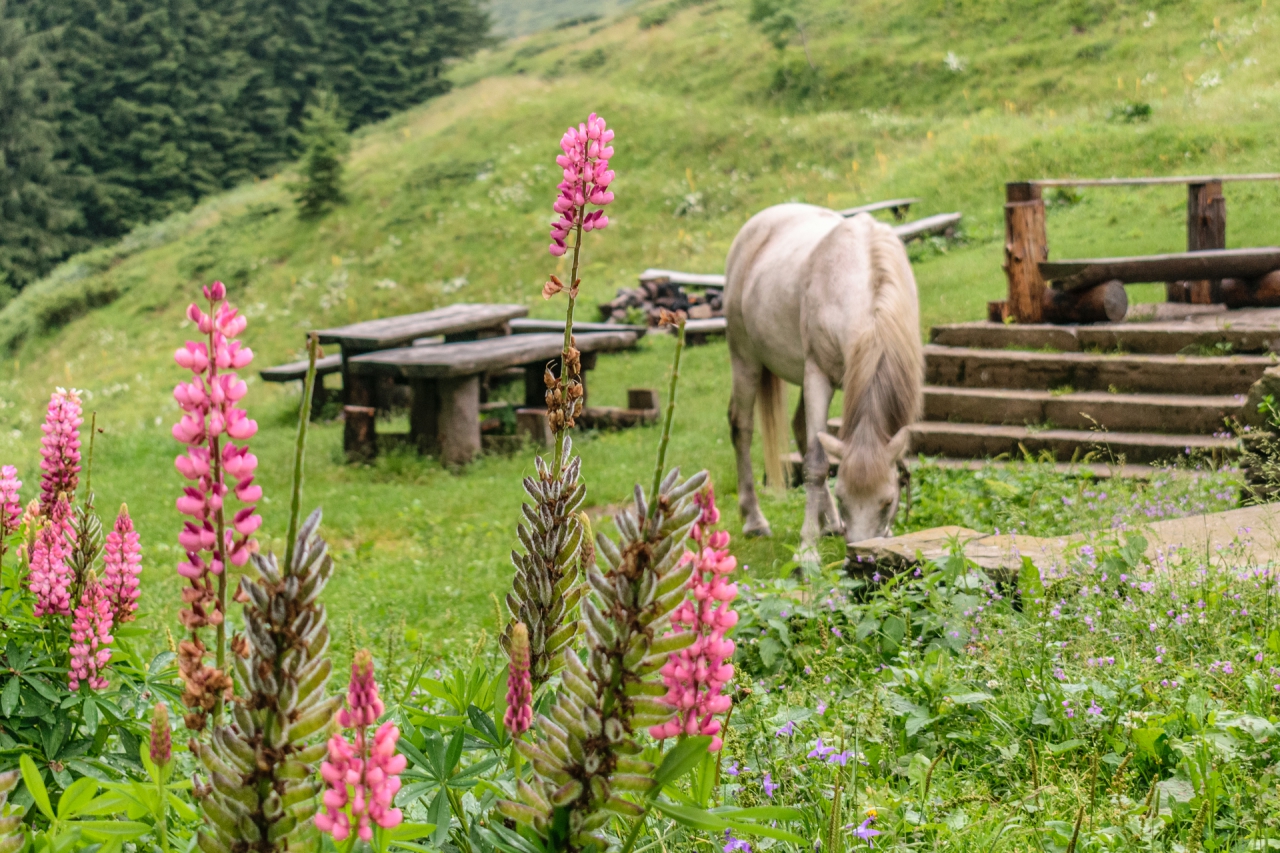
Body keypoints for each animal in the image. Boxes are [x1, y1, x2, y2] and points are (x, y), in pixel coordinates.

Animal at [727, 202, 926, 555]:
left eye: (888, 502)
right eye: (844, 498)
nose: (863, 557)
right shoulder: (817, 375)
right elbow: (817, 464)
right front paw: (807, 547)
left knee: (799, 428)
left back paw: (830, 524)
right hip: (745, 360)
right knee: (743, 429)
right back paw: (755, 520)